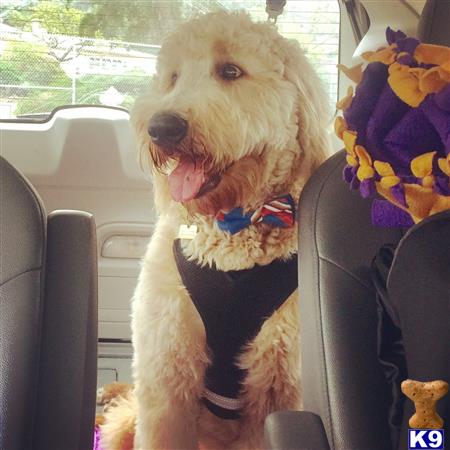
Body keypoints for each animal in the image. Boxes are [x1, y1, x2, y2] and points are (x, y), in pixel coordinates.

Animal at [100, 7, 328, 450]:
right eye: (173, 78)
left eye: (230, 70)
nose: (161, 127)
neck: (233, 228)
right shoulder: (166, 372)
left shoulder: (276, 387)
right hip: (128, 420)